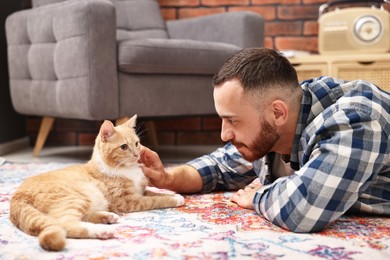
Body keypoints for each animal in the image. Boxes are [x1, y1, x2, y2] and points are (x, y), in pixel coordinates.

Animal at [9, 115, 184, 251]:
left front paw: (173, 194)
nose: (136, 155)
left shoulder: (141, 191)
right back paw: (102, 231)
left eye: (137, 143)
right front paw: (176, 198)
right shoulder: (128, 201)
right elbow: (155, 200)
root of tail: (18, 195)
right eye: (123, 147)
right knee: (65, 223)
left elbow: (154, 193)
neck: (126, 169)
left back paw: (107, 217)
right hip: (77, 196)